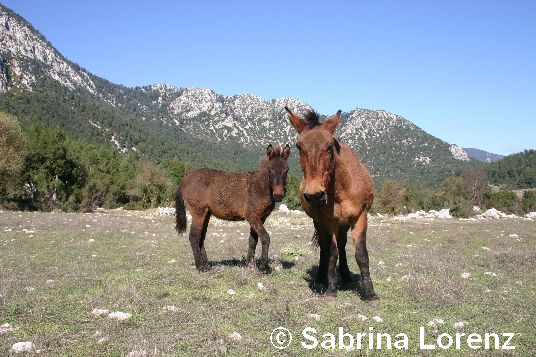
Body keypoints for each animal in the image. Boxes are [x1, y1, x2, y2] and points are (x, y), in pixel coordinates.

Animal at [284, 106, 376, 300]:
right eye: (299, 147)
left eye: (330, 146)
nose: (314, 196)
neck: (342, 189)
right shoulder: (329, 221)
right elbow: (332, 252)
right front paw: (331, 289)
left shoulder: (360, 217)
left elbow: (361, 253)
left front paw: (370, 293)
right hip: (319, 222)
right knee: (325, 248)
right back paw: (321, 277)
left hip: (344, 223)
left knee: (341, 244)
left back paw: (346, 275)